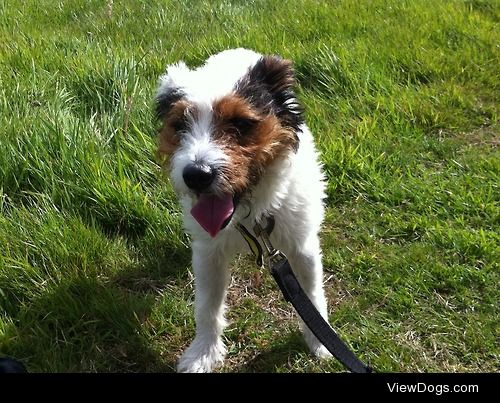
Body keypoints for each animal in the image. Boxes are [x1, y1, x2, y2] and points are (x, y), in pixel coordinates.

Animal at [154, 48, 330, 372]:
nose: (196, 175)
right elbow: (207, 307)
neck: (251, 212)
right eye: (179, 125)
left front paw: (320, 341)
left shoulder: (302, 246)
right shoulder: (208, 253)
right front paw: (203, 354)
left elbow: (311, 293)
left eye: (241, 123)